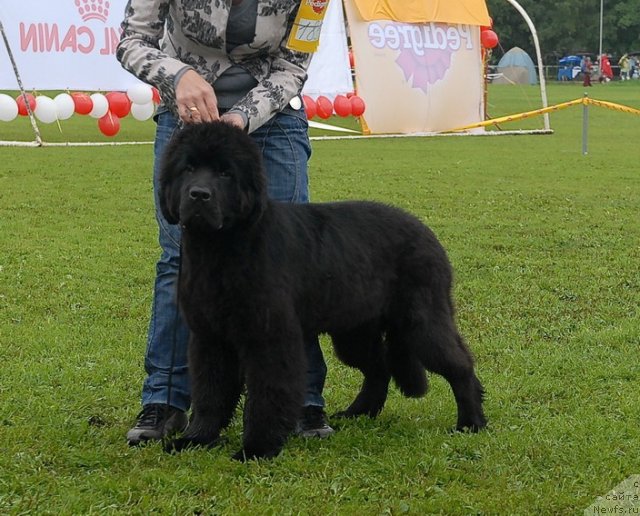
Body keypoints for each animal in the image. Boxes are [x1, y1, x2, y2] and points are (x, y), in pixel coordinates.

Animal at [159, 121, 484, 460]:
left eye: (225, 172)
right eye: (188, 168)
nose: (199, 195)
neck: (223, 248)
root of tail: (425, 231)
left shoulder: (270, 338)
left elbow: (266, 393)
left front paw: (258, 447)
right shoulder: (210, 337)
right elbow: (210, 392)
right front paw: (196, 439)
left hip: (421, 322)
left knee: (459, 365)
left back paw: (470, 422)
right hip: (355, 331)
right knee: (379, 368)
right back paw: (358, 413)